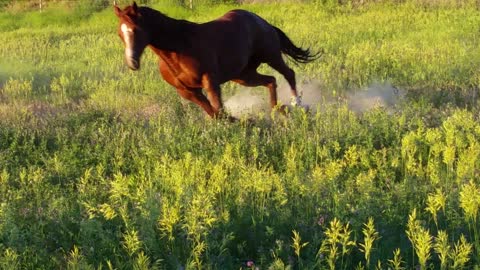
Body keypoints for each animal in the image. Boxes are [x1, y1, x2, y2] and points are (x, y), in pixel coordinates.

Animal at [115, 1, 318, 118]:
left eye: (135, 30)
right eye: (120, 33)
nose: (132, 63)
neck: (178, 49)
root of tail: (261, 21)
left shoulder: (209, 81)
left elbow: (218, 110)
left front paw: (244, 123)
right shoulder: (187, 91)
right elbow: (215, 114)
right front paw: (241, 122)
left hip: (271, 56)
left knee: (288, 73)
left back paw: (296, 104)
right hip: (243, 75)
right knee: (271, 80)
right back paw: (278, 110)